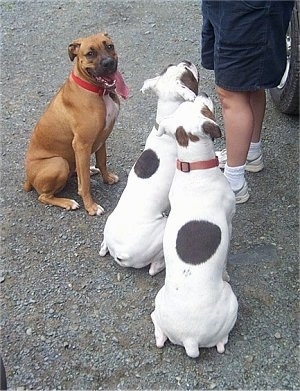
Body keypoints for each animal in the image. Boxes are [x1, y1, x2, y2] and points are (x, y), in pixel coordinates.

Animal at [22, 33, 127, 217]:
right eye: (90, 54)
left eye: (109, 46)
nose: (109, 63)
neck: (98, 91)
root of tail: (28, 179)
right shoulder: (81, 144)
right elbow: (85, 184)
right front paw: (91, 207)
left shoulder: (102, 138)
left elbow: (102, 161)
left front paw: (107, 179)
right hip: (59, 163)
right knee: (44, 196)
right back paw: (68, 202)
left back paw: (90, 169)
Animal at [151, 95, 238, 358]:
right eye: (205, 109)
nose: (203, 95)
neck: (194, 168)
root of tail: (190, 339)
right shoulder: (229, 219)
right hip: (232, 302)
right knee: (221, 340)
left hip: (159, 301)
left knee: (156, 325)